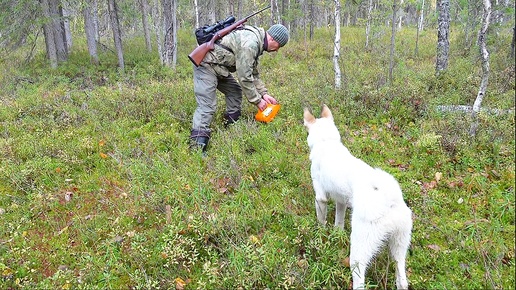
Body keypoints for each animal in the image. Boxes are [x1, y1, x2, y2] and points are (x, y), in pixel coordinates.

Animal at [302, 105, 412, 290]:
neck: (326, 142)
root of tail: (388, 199)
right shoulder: (341, 201)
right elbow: (339, 222)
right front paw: (336, 235)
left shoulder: (321, 197)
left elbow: (321, 220)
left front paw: (321, 235)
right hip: (399, 245)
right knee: (402, 279)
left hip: (360, 249)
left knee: (359, 280)